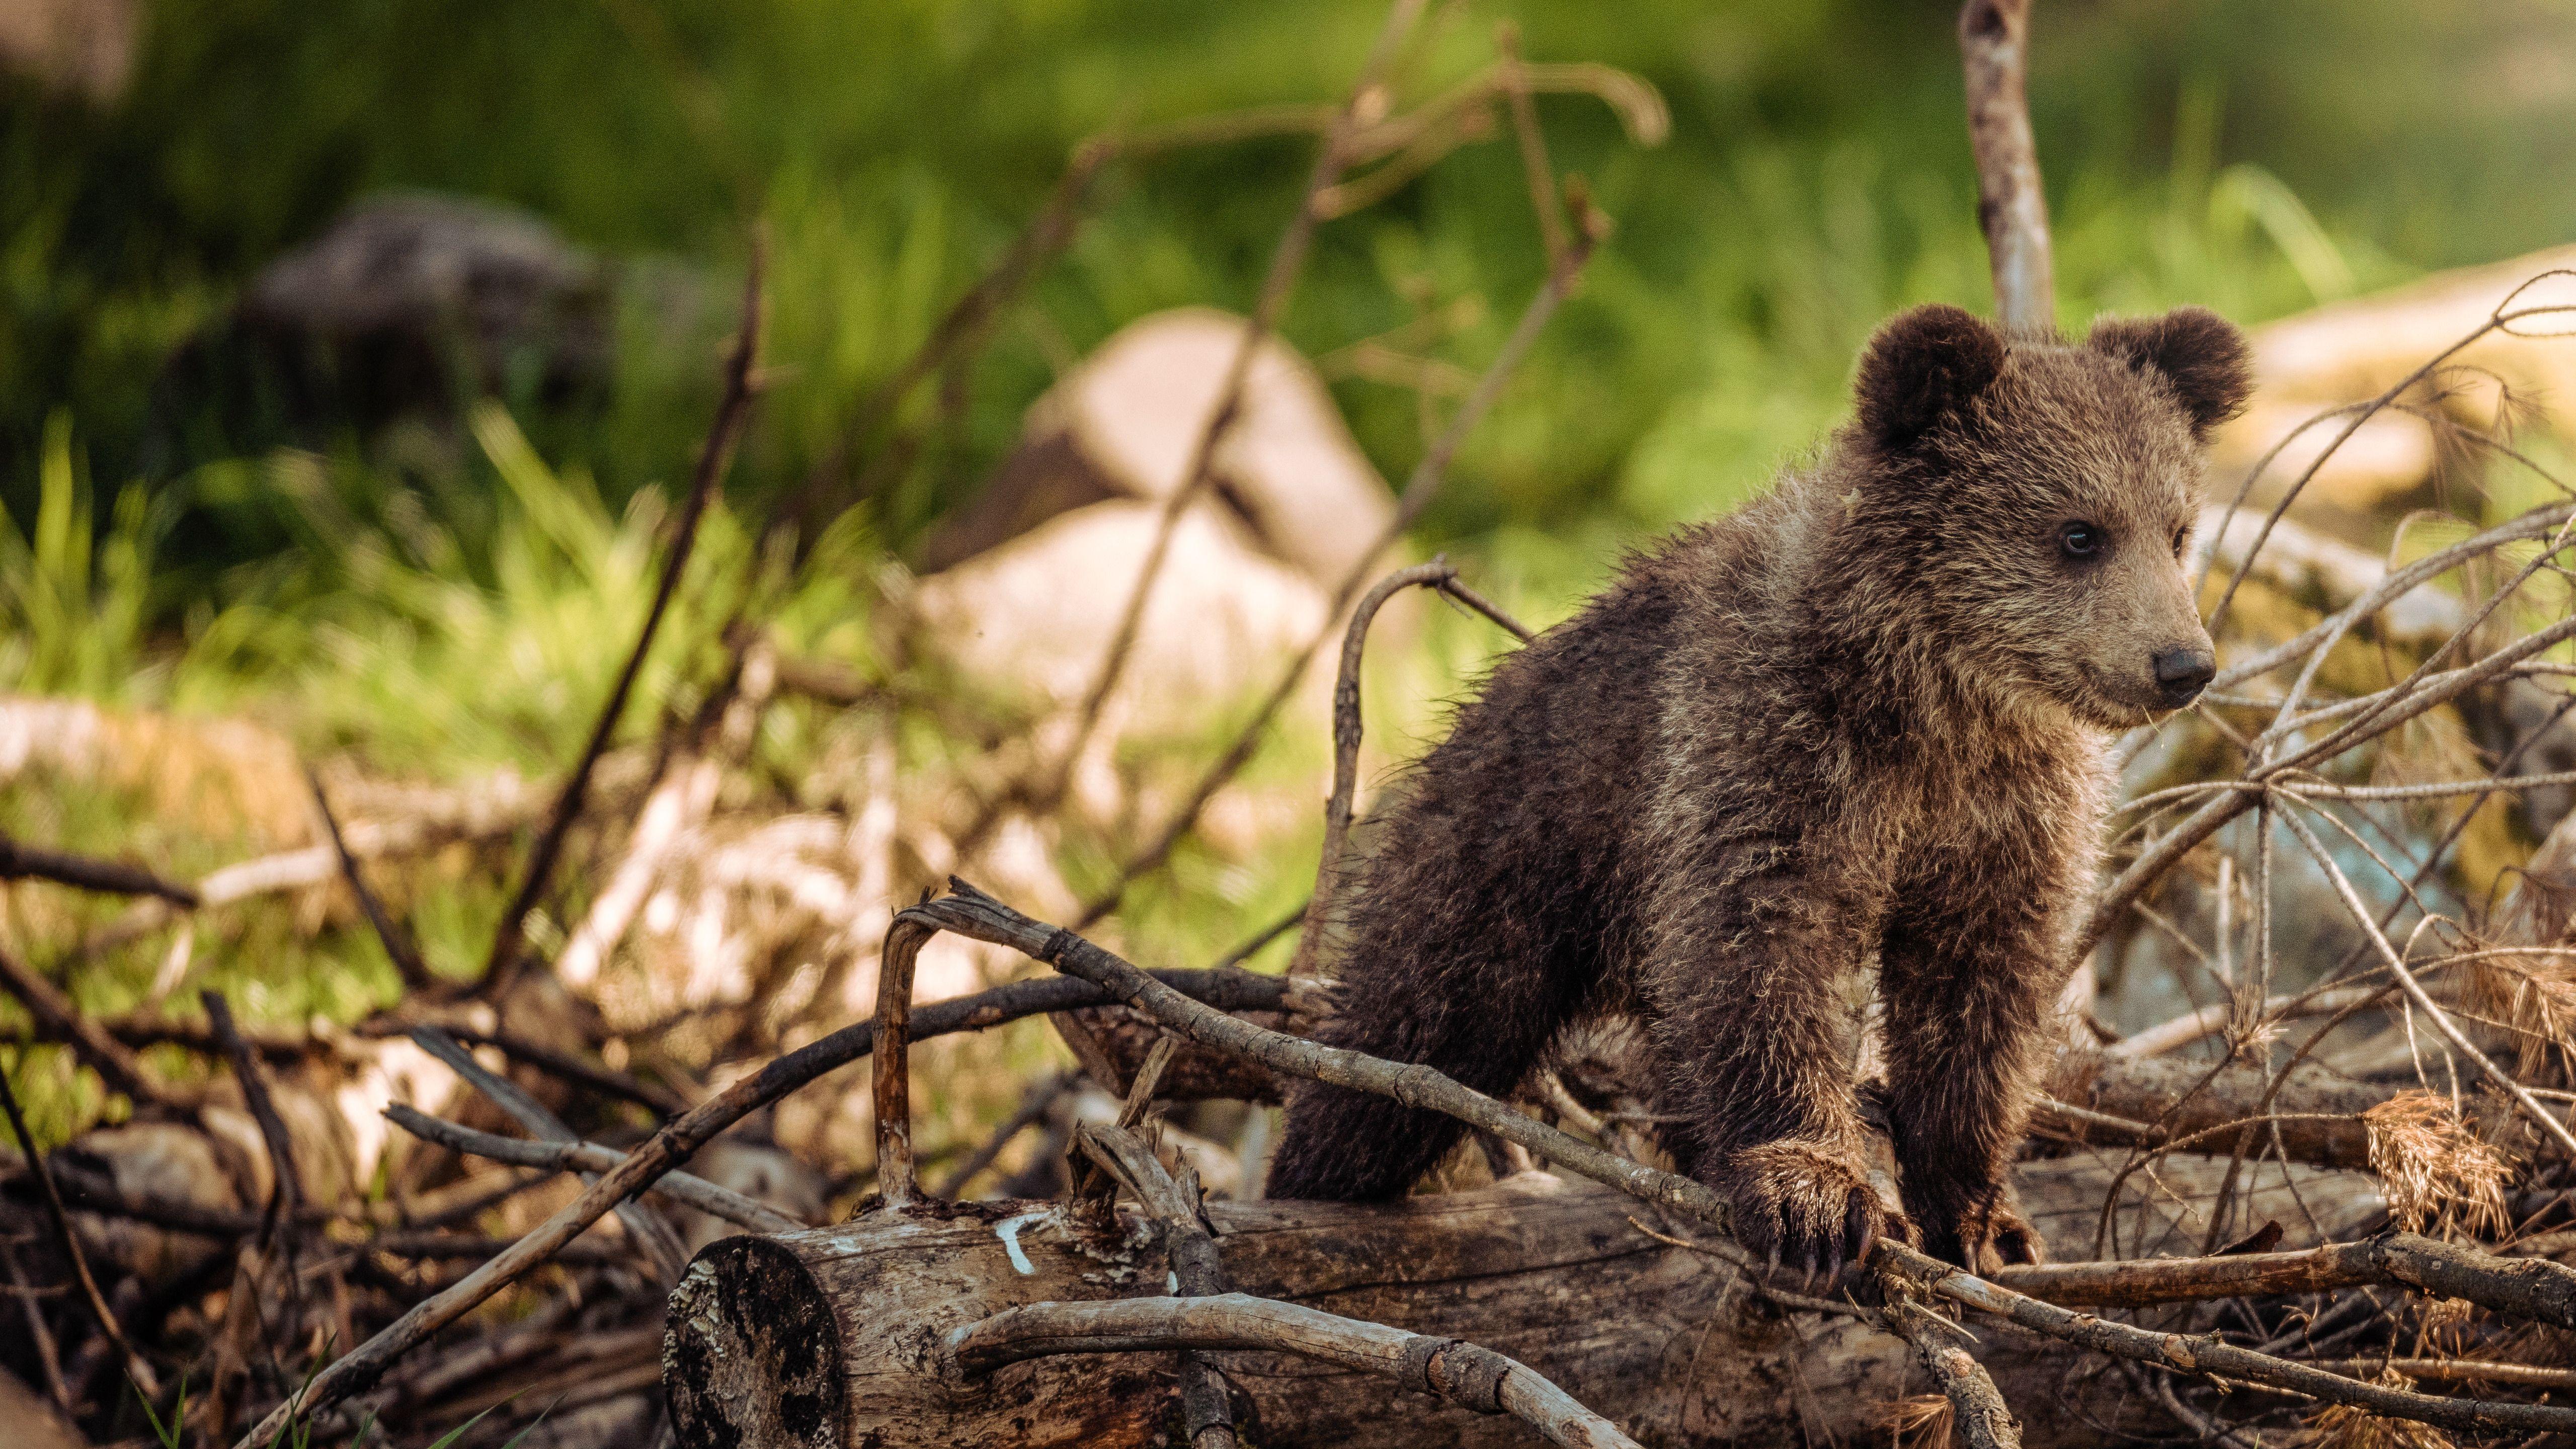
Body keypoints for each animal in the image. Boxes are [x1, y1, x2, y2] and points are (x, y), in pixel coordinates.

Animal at [1263, 303, 2251, 1276]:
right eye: (2079, 532)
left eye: (2176, 529)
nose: (2183, 664)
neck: (1936, 705)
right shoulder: (1770, 754)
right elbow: (1762, 954)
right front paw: (1815, 1197)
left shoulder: (2005, 816)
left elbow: (1979, 996)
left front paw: (1982, 1218)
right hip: (1499, 863)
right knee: (1400, 1045)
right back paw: (1312, 1181)